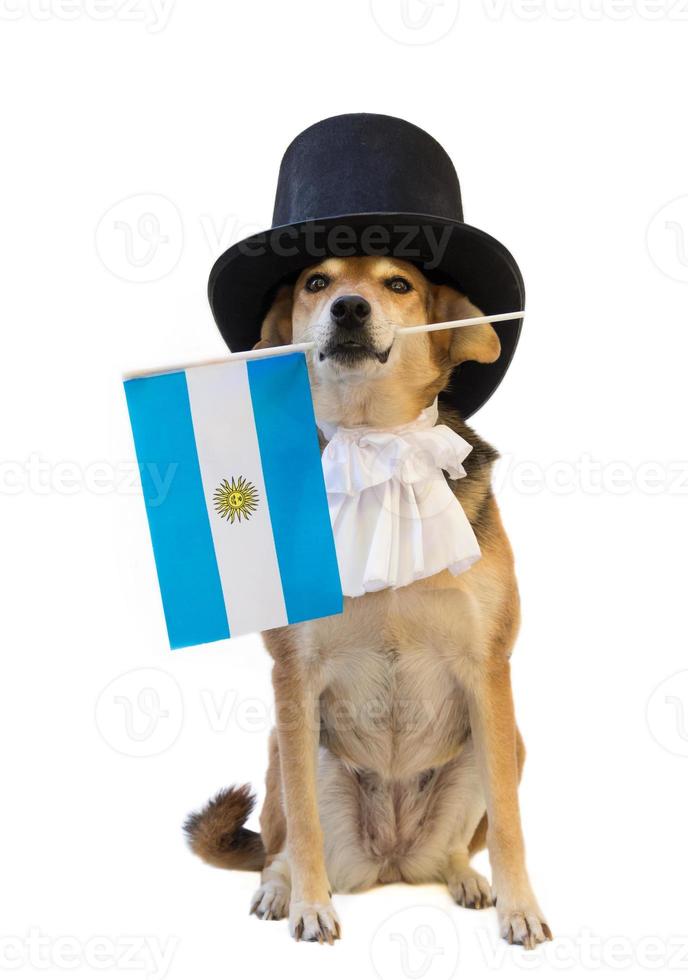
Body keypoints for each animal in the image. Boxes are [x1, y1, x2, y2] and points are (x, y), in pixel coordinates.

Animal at [185, 256, 552, 944]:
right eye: (316, 283)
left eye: (399, 284)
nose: (350, 308)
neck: (375, 438)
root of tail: (391, 862)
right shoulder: (295, 678)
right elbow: (302, 822)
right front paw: (309, 906)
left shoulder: (487, 670)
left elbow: (510, 824)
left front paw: (521, 909)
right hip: (286, 748)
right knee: (279, 843)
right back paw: (282, 889)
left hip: (504, 744)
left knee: (455, 847)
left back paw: (466, 877)